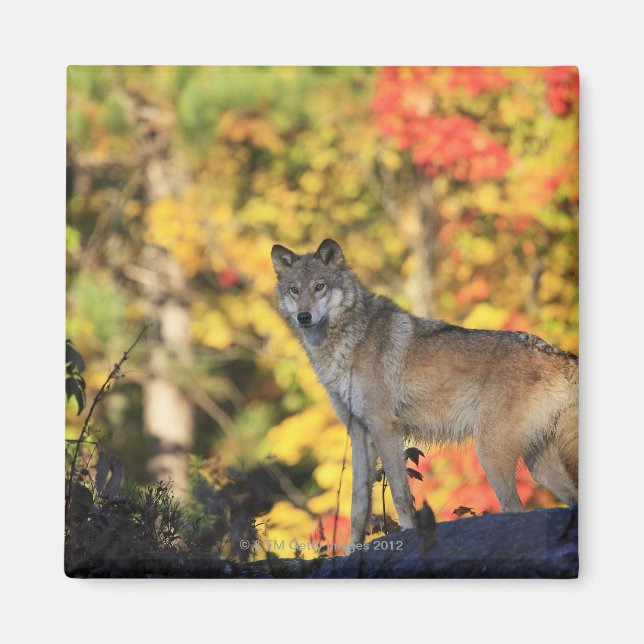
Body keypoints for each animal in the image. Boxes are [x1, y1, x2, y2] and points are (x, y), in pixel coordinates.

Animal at [271, 239, 578, 545]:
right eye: (295, 289)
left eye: (319, 286)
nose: (303, 316)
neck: (349, 340)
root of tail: (561, 355)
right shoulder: (359, 434)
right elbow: (358, 507)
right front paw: (351, 551)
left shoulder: (385, 428)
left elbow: (400, 495)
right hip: (539, 467)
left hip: (490, 453)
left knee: (515, 509)